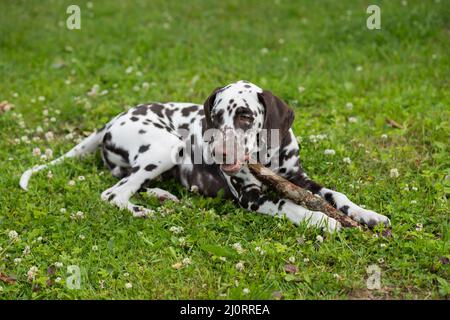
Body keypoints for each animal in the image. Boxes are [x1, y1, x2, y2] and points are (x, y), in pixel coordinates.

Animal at [20, 79, 390, 230]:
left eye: (244, 116)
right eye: (216, 115)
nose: (220, 152)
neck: (265, 157)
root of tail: (112, 121)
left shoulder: (298, 178)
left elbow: (336, 195)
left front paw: (367, 214)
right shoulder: (251, 197)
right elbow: (292, 206)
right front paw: (323, 221)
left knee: (132, 183)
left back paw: (161, 196)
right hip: (166, 147)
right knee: (114, 193)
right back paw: (144, 211)